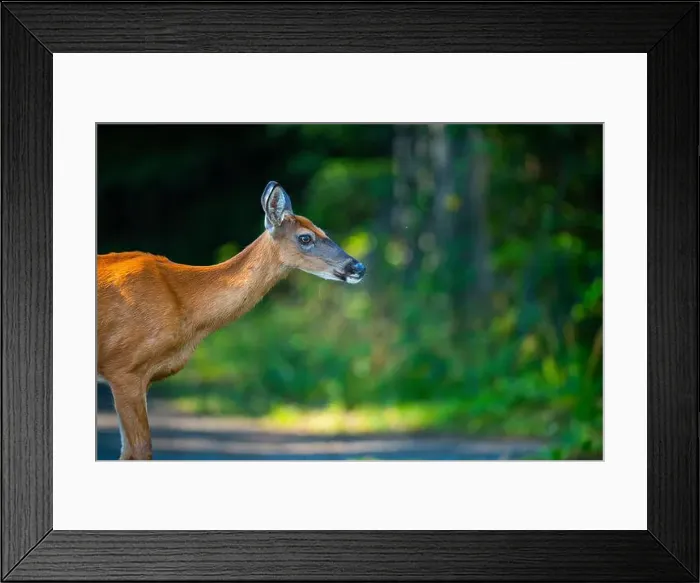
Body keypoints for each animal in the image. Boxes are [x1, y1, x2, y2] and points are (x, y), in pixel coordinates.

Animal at [97, 181, 366, 460]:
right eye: (305, 237)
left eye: (323, 231)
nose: (358, 267)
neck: (184, 304)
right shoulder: (123, 368)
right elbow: (139, 450)